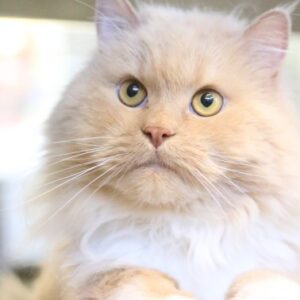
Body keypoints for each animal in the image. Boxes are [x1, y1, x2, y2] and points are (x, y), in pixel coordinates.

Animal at [27, 0, 300, 300]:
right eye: (132, 92)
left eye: (208, 101)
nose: (157, 131)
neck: (179, 229)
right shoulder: (98, 275)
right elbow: (138, 279)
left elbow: (261, 279)